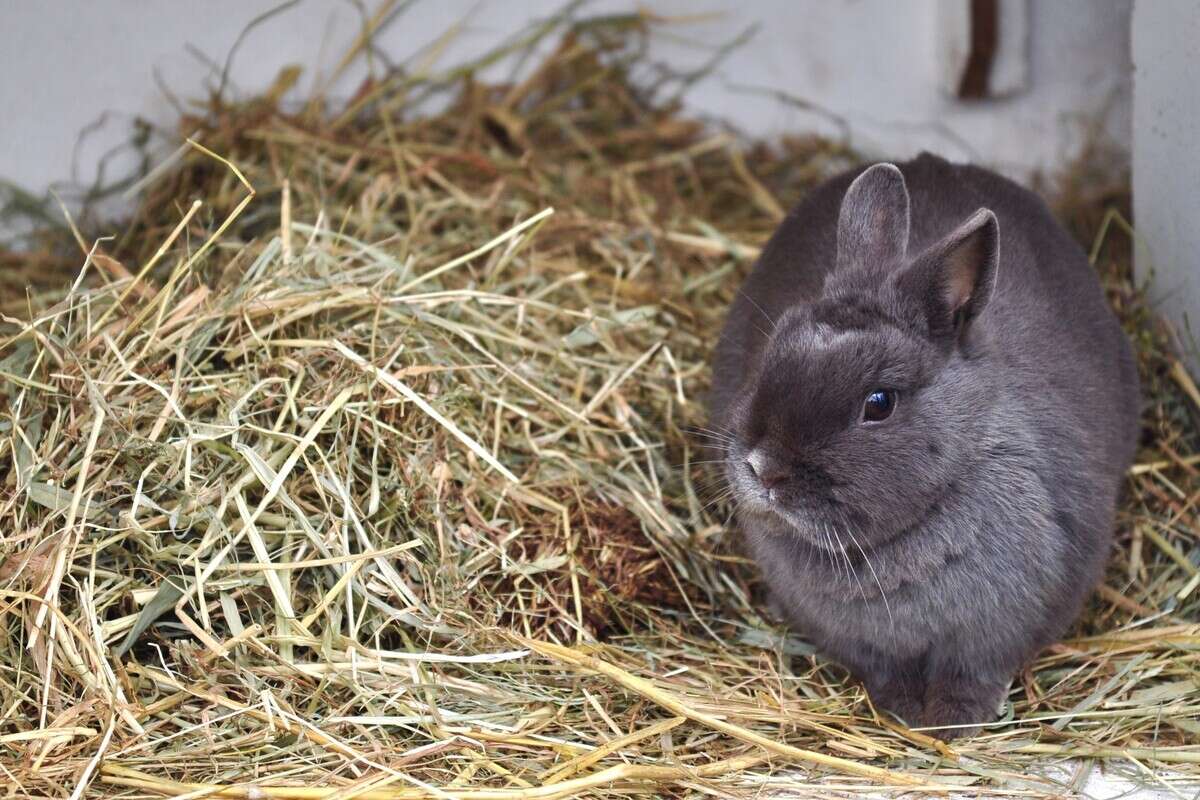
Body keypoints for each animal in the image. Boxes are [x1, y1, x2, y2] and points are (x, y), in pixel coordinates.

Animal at [705, 149, 1137, 738]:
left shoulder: (992, 636)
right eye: (774, 348)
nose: (762, 466)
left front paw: (952, 724)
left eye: (879, 403)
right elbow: (889, 671)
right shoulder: (869, 647)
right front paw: (907, 712)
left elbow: (971, 675)